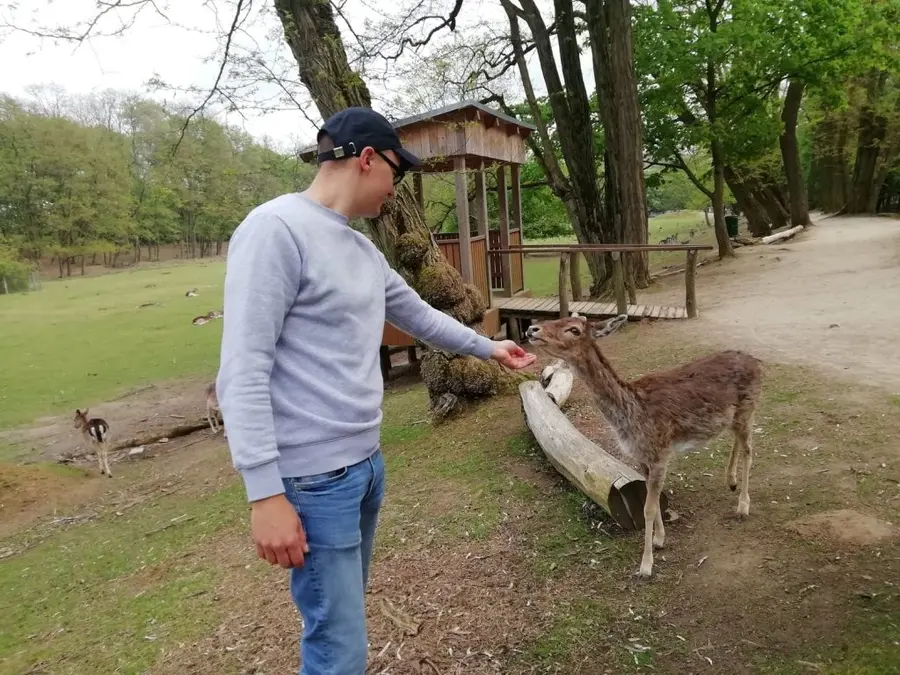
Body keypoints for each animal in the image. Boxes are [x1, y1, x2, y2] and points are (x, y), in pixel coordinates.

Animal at [524, 314, 764, 580]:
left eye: (574, 329)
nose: (532, 329)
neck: (631, 415)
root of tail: (759, 364)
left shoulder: (660, 452)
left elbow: (649, 506)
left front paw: (646, 566)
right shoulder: (642, 457)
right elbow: (652, 496)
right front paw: (659, 539)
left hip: (748, 408)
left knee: (749, 450)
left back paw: (743, 506)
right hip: (735, 417)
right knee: (738, 441)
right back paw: (730, 481)